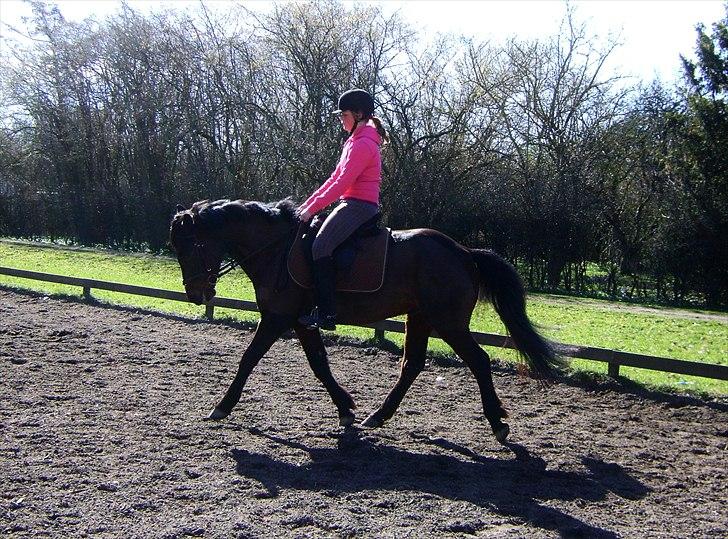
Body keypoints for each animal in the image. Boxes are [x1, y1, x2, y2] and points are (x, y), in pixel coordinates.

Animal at [169, 198, 565, 442]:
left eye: (188, 246)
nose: (195, 295)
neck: (276, 249)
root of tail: (465, 252)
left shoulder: (277, 318)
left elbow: (248, 359)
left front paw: (222, 406)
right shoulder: (301, 321)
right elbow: (319, 364)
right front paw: (345, 409)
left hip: (448, 322)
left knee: (479, 361)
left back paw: (497, 423)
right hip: (419, 317)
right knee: (412, 365)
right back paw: (378, 415)